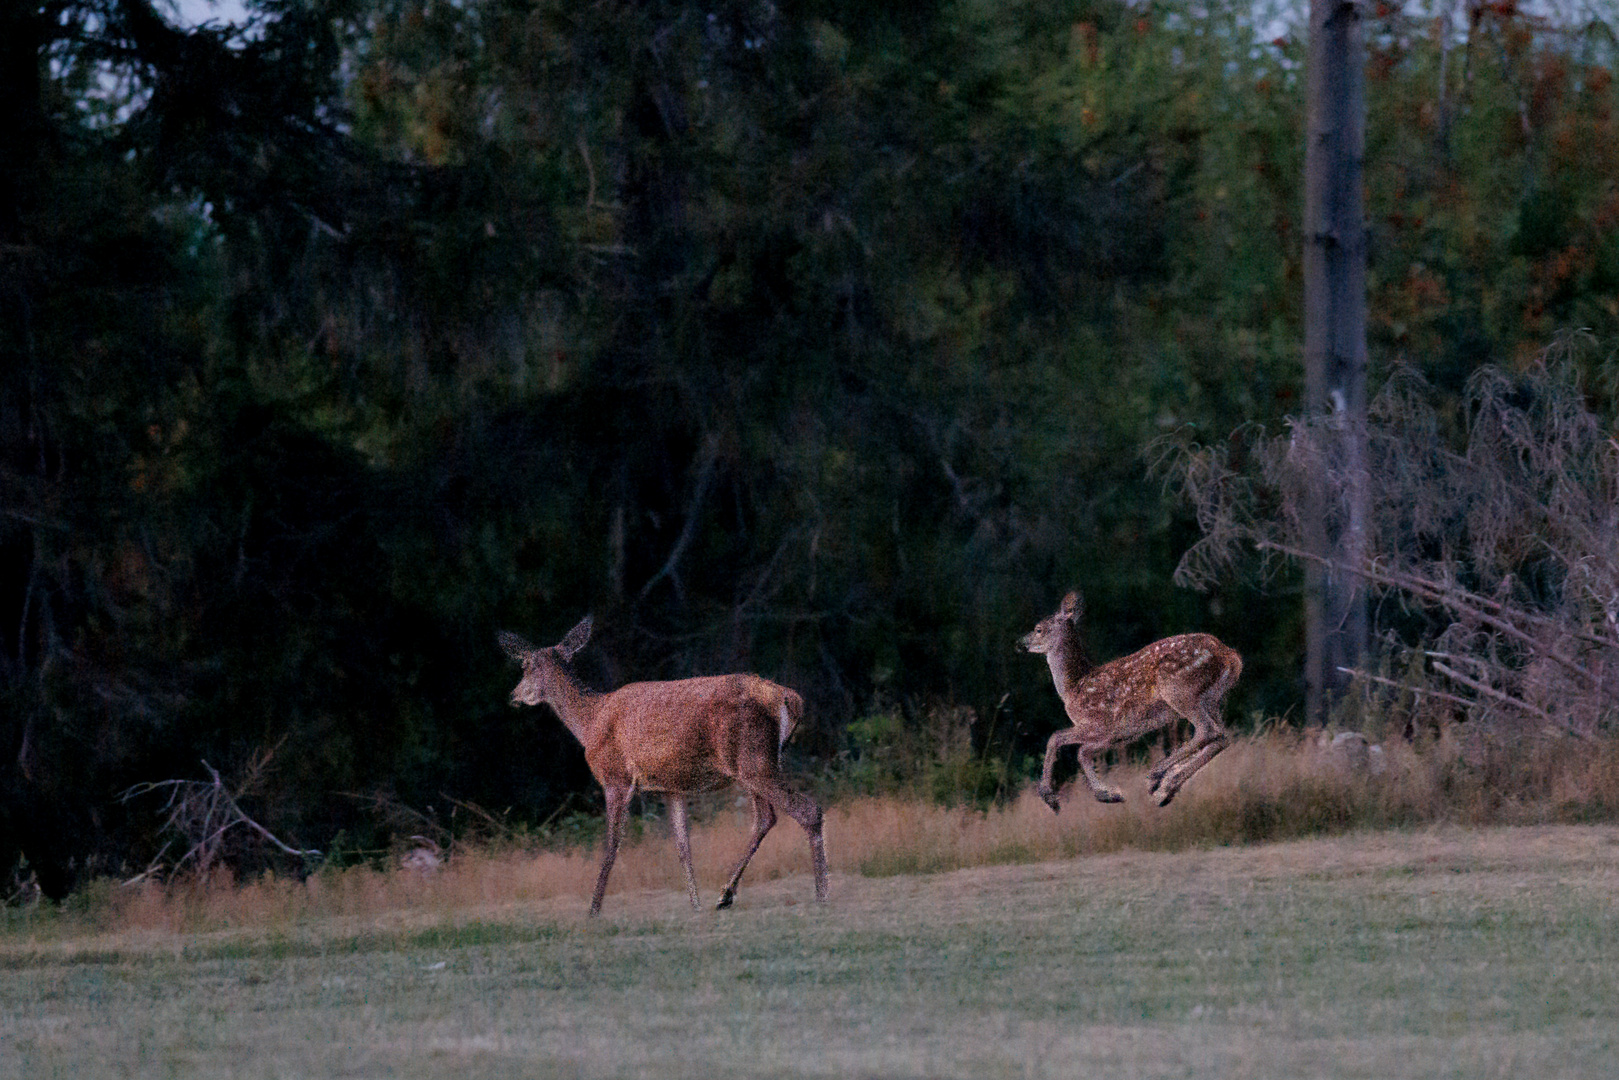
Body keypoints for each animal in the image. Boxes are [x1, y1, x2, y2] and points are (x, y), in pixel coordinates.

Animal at [495, 621, 828, 919]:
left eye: (525, 666)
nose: (513, 695)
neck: (589, 722)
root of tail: (788, 698)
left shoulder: (616, 776)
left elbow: (612, 844)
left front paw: (593, 910)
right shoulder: (672, 786)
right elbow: (682, 845)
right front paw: (695, 905)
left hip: (753, 760)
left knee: (807, 809)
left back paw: (821, 894)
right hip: (755, 765)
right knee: (765, 818)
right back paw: (725, 895)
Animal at [1016, 592, 1243, 809]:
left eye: (1038, 629)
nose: (1020, 643)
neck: (1074, 686)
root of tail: (1230, 655)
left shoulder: (1103, 726)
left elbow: (1063, 743)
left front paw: (1057, 797)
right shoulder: (1120, 735)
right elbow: (1075, 748)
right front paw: (1107, 794)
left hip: (1180, 691)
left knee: (1208, 731)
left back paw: (1156, 776)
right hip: (1210, 699)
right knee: (1222, 736)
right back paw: (1166, 788)